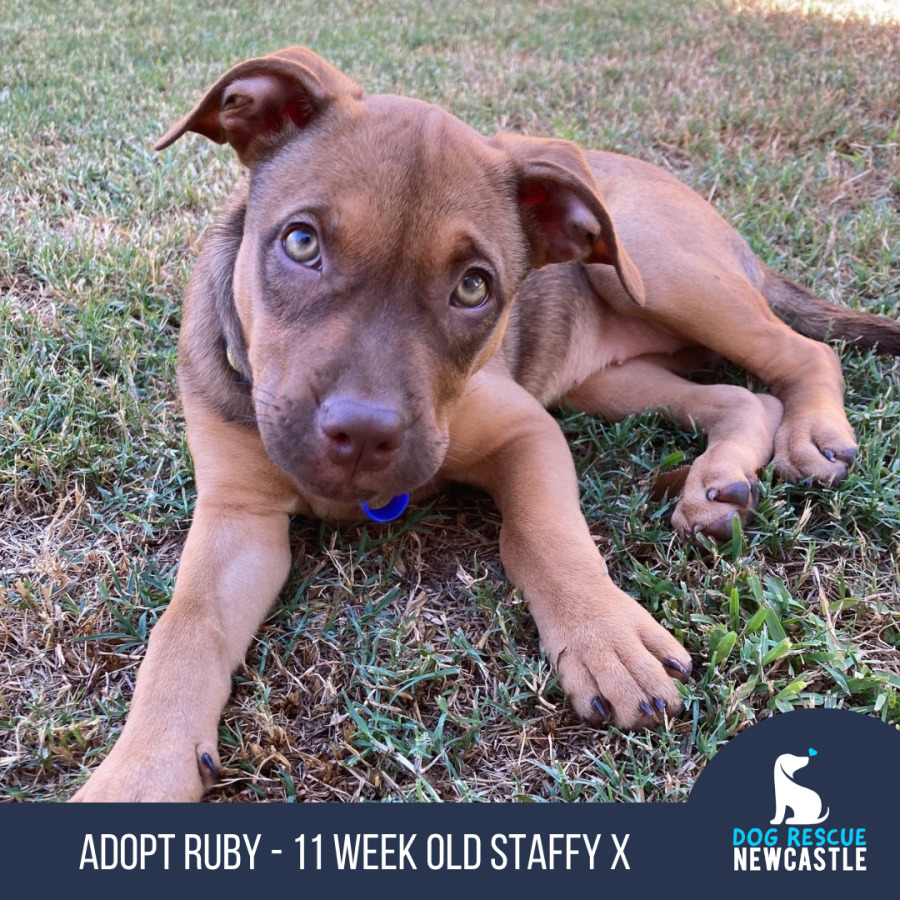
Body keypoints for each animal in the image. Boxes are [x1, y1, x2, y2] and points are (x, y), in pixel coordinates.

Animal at [71, 47, 900, 800]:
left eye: (474, 288)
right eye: (301, 242)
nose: (362, 437)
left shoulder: (525, 430)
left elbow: (543, 533)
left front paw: (605, 634)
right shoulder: (238, 515)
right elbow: (183, 630)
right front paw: (138, 775)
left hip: (663, 270)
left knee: (805, 353)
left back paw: (813, 434)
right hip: (608, 378)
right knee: (744, 397)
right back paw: (717, 484)